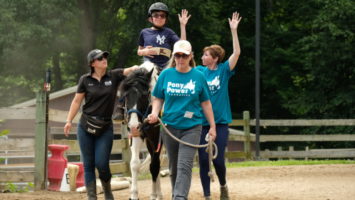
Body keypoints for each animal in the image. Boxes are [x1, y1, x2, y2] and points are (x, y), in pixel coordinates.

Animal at [119, 61, 164, 199]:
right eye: (126, 96)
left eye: (144, 95)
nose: (133, 125)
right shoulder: (137, 135)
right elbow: (134, 164)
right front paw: (133, 195)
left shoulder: (157, 138)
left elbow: (154, 166)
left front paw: (154, 195)